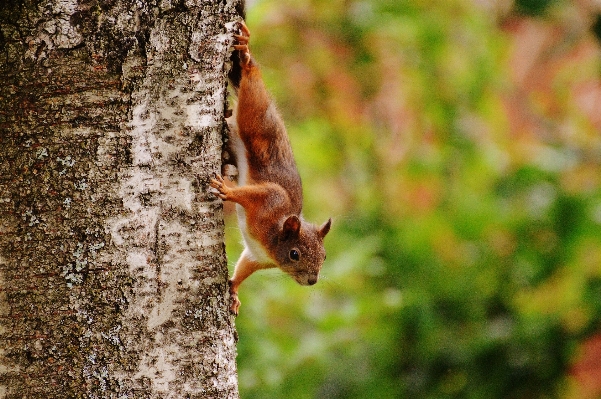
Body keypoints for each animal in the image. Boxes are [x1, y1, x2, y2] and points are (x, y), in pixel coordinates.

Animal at [210, 22, 332, 316]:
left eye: (324, 255)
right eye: (294, 254)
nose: (312, 281)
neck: (273, 238)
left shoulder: (256, 256)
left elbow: (243, 269)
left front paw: (234, 291)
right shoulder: (271, 200)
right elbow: (257, 193)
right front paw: (227, 191)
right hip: (255, 117)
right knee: (251, 83)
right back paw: (246, 55)